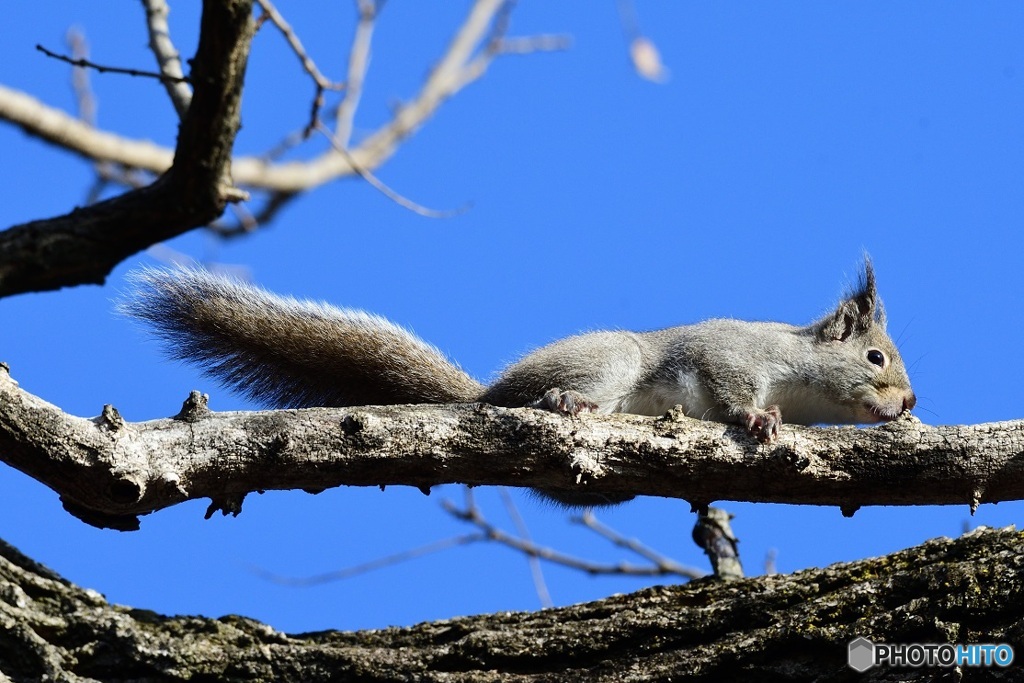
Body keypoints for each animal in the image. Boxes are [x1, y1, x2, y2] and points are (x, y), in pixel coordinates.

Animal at [121, 262, 921, 507]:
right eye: (877, 357)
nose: (910, 402)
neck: (795, 367)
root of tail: (486, 398)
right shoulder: (730, 354)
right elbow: (732, 390)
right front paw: (757, 421)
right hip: (611, 362)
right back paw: (566, 401)